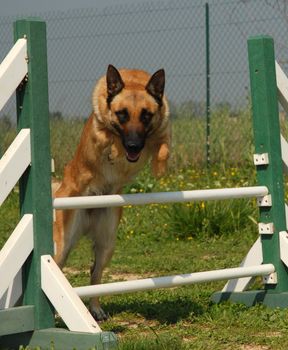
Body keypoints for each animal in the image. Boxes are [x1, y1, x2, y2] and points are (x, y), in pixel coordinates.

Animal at [53, 65, 170, 320]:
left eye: (146, 115)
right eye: (122, 114)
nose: (134, 146)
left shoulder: (162, 131)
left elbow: (163, 146)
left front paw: (159, 166)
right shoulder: (100, 133)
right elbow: (109, 136)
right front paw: (116, 150)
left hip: (107, 244)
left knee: (95, 274)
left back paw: (96, 310)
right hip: (62, 246)